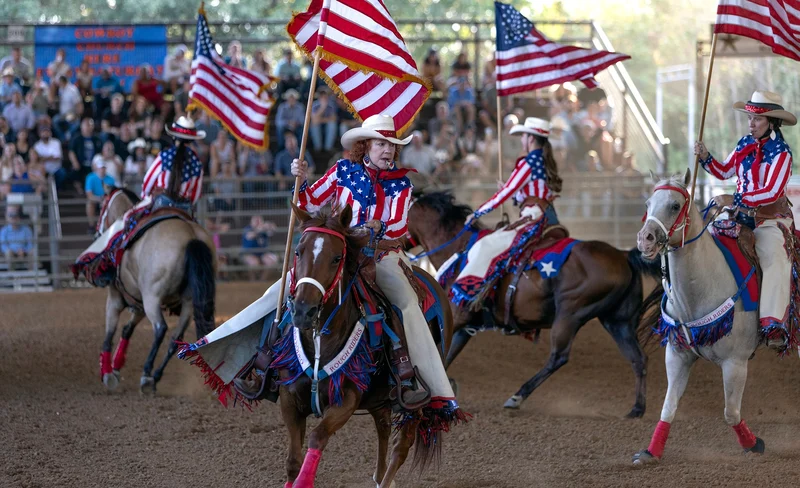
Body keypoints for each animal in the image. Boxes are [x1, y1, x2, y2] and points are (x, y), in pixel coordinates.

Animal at [98, 188, 217, 392]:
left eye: (101, 208)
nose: (97, 229)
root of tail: (191, 236)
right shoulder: (138, 304)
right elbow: (127, 330)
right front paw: (116, 366)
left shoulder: (116, 298)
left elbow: (109, 333)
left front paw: (107, 373)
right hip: (188, 303)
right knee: (176, 339)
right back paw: (156, 376)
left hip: (152, 298)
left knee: (161, 329)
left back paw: (146, 375)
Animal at [282, 206, 454, 488]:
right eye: (298, 252)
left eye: (336, 257)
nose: (304, 311)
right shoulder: (290, 400)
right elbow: (292, 462)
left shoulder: (346, 400)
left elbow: (318, 436)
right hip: (380, 398)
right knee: (383, 430)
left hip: (416, 398)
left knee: (400, 447)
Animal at [410, 191, 660, 416]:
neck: (460, 250)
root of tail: (623, 256)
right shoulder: (466, 326)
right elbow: (444, 355)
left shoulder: (457, 315)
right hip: (618, 322)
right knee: (638, 359)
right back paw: (637, 409)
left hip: (570, 315)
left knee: (558, 357)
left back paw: (516, 397)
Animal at [632, 172, 764, 466]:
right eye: (647, 203)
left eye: (674, 205)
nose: (645, 239)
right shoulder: (677, 355)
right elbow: (668, 407)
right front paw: (650, 452)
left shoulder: (735, 363)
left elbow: (730, 413)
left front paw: (754, 444)